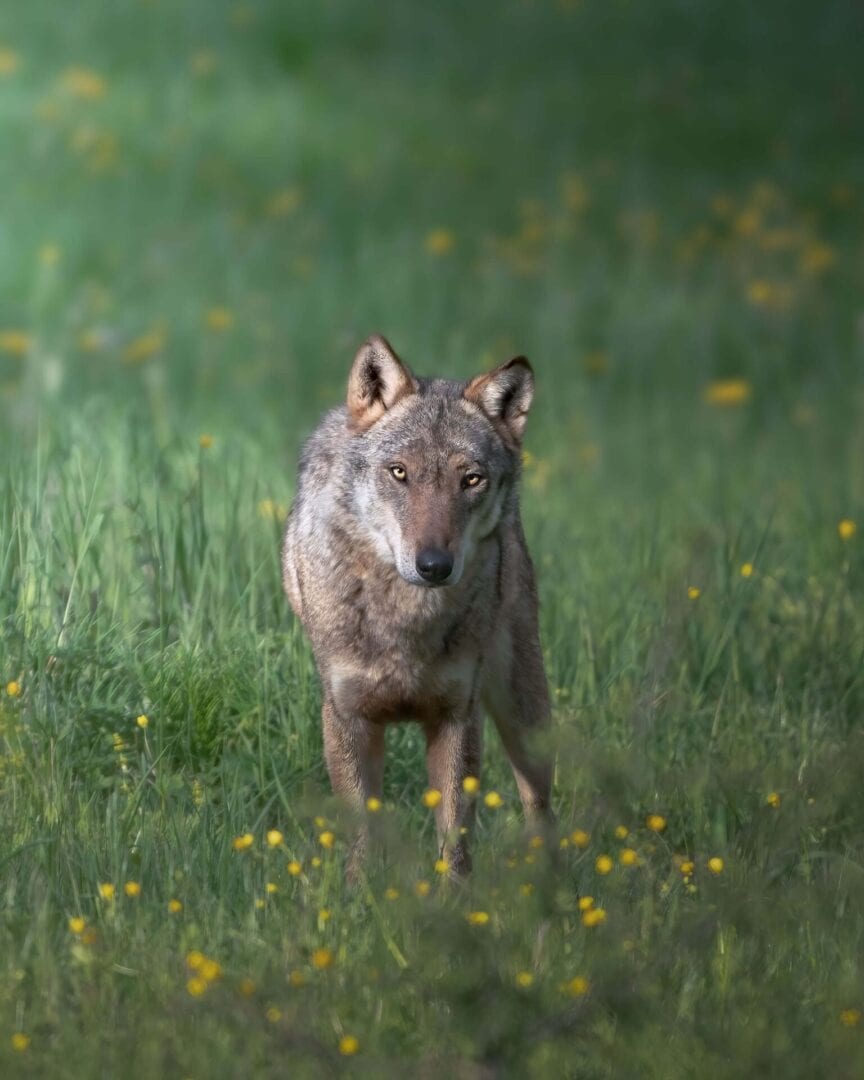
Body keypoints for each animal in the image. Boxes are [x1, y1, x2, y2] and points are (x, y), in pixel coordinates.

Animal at [282, 335, 552, 875]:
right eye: (399, 472)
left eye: (471, 480)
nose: (433, 566)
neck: (405, 624)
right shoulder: (347, 718)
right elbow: (363, 836)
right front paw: (360, 893)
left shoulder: (457, 717)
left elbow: (455, 845)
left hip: (523, 711)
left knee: (541, 806)